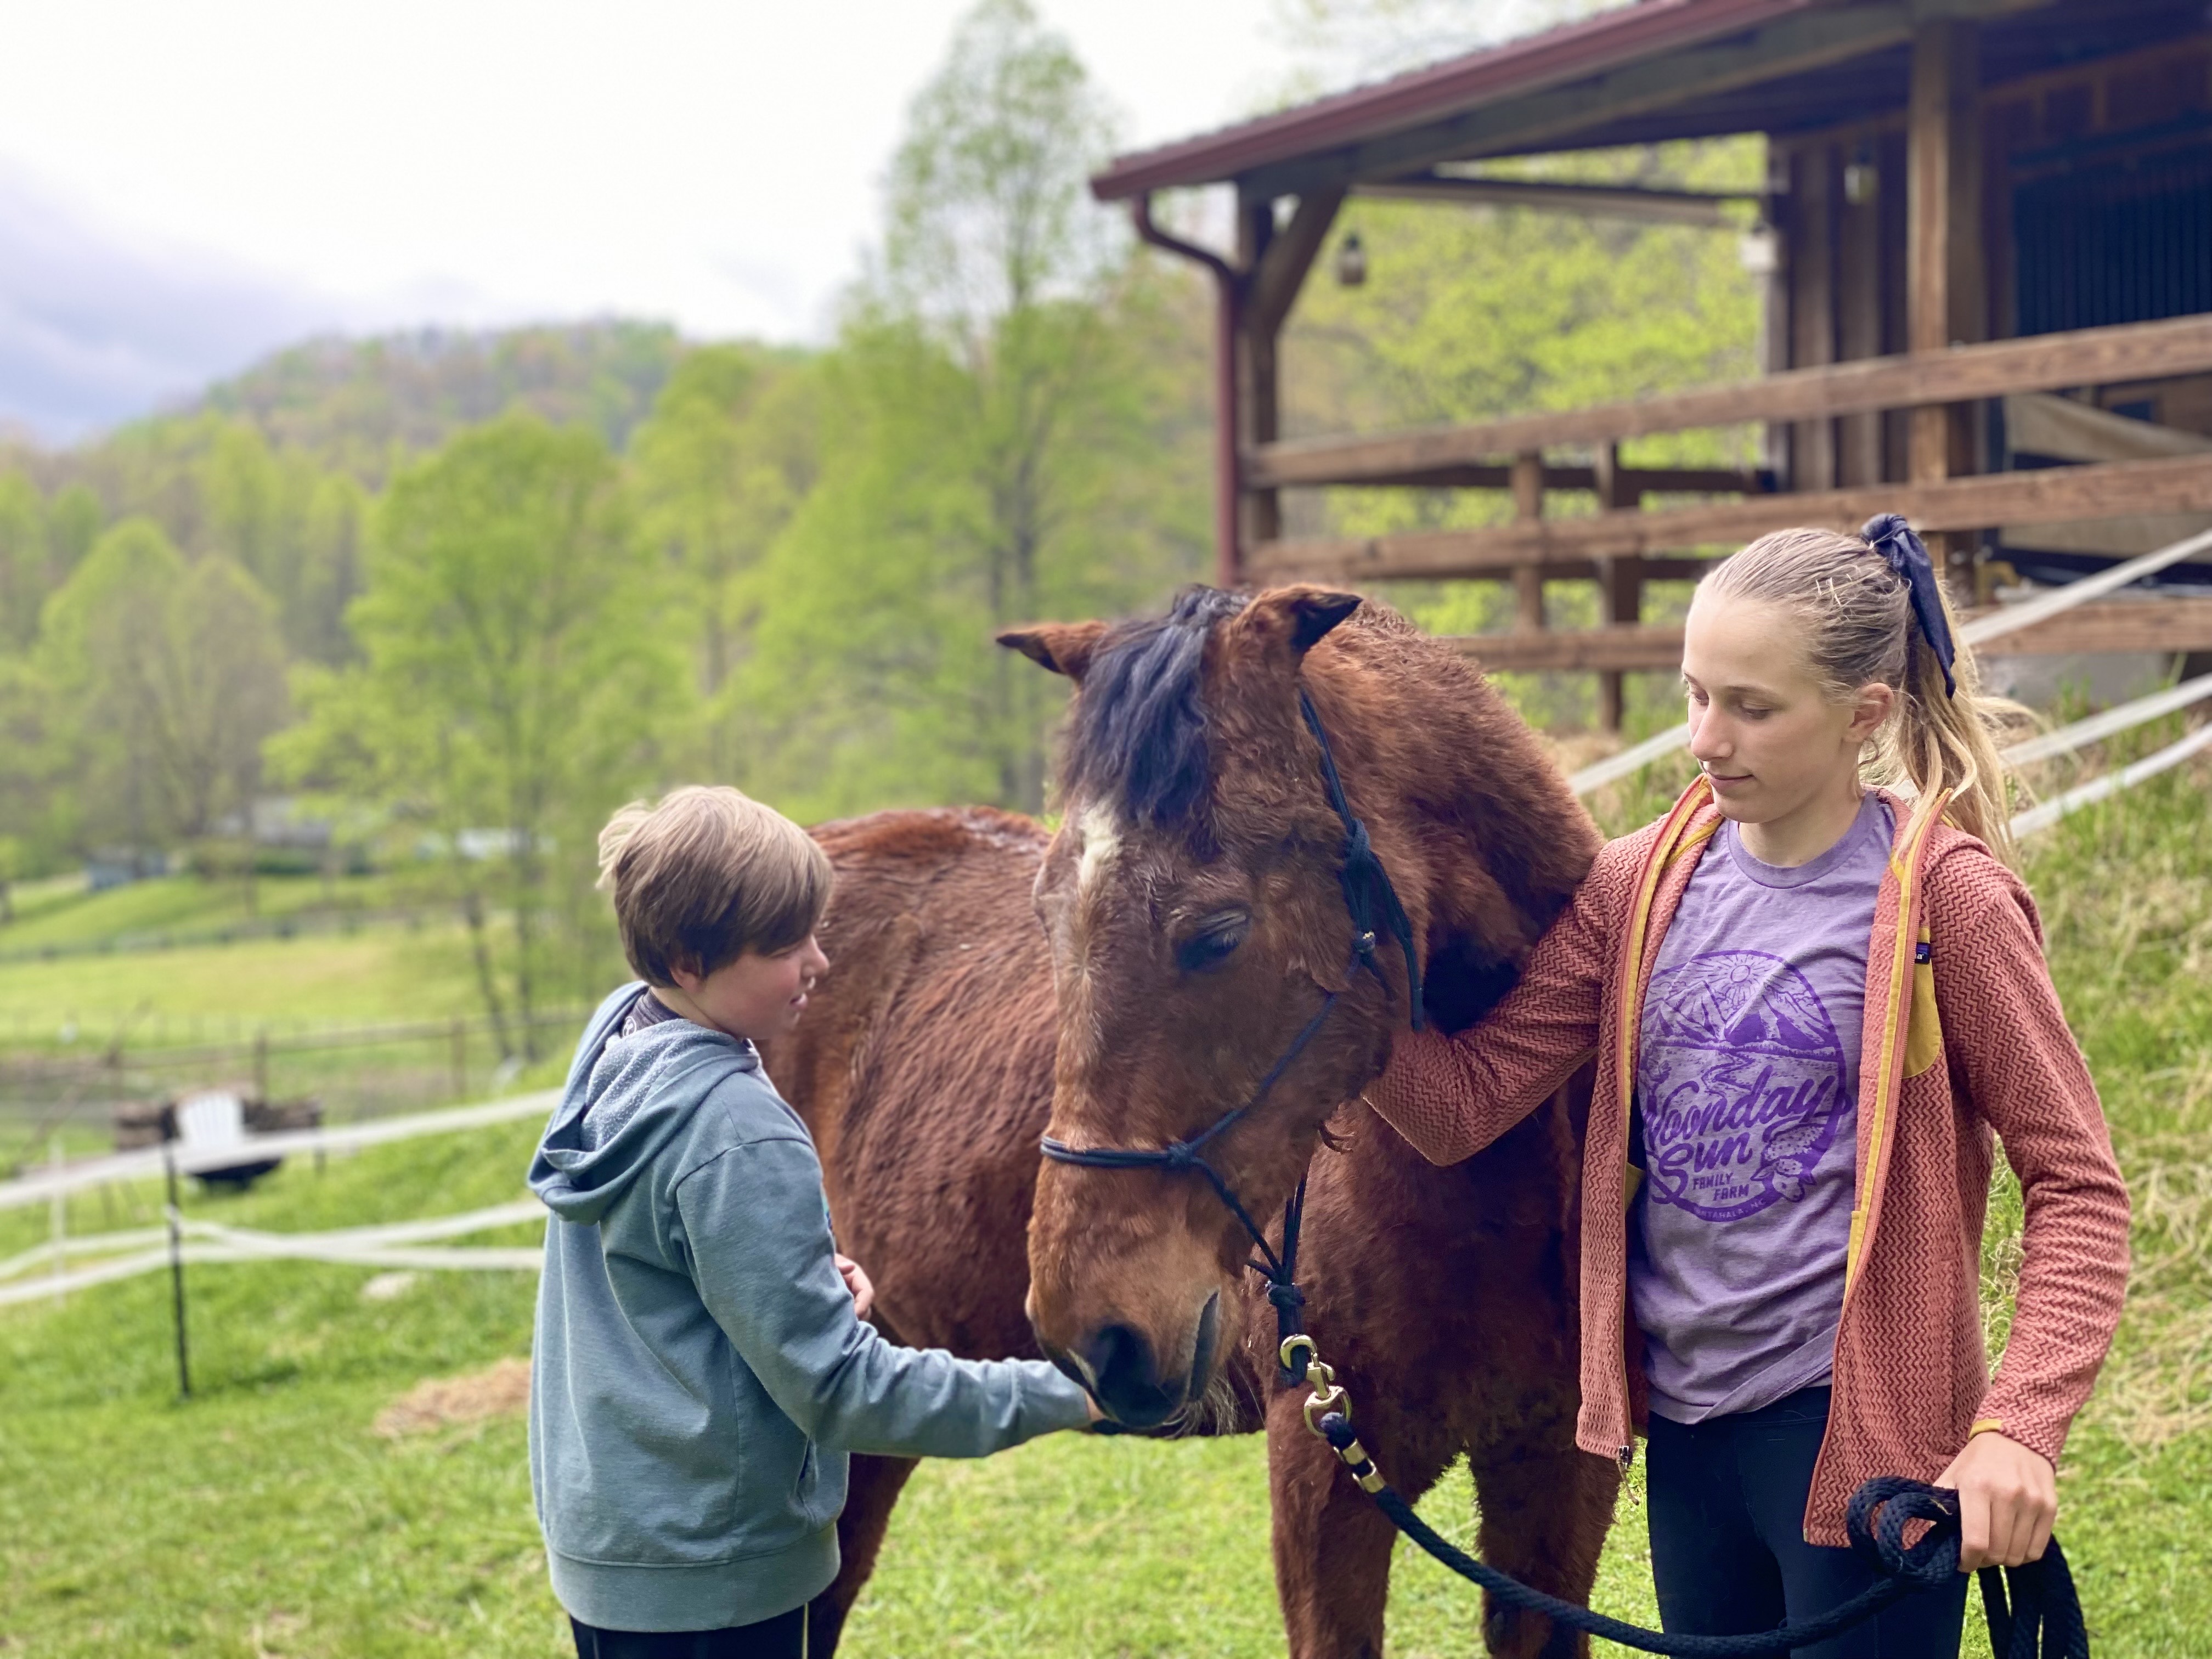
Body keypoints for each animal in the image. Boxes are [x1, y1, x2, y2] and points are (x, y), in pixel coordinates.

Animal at [763, 584, 1619, 1658]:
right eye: (1046, 919)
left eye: (1217, 933)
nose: (1094, 1332)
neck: (1493, 1195)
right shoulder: (1328, 1470)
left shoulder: (1557, 1474)